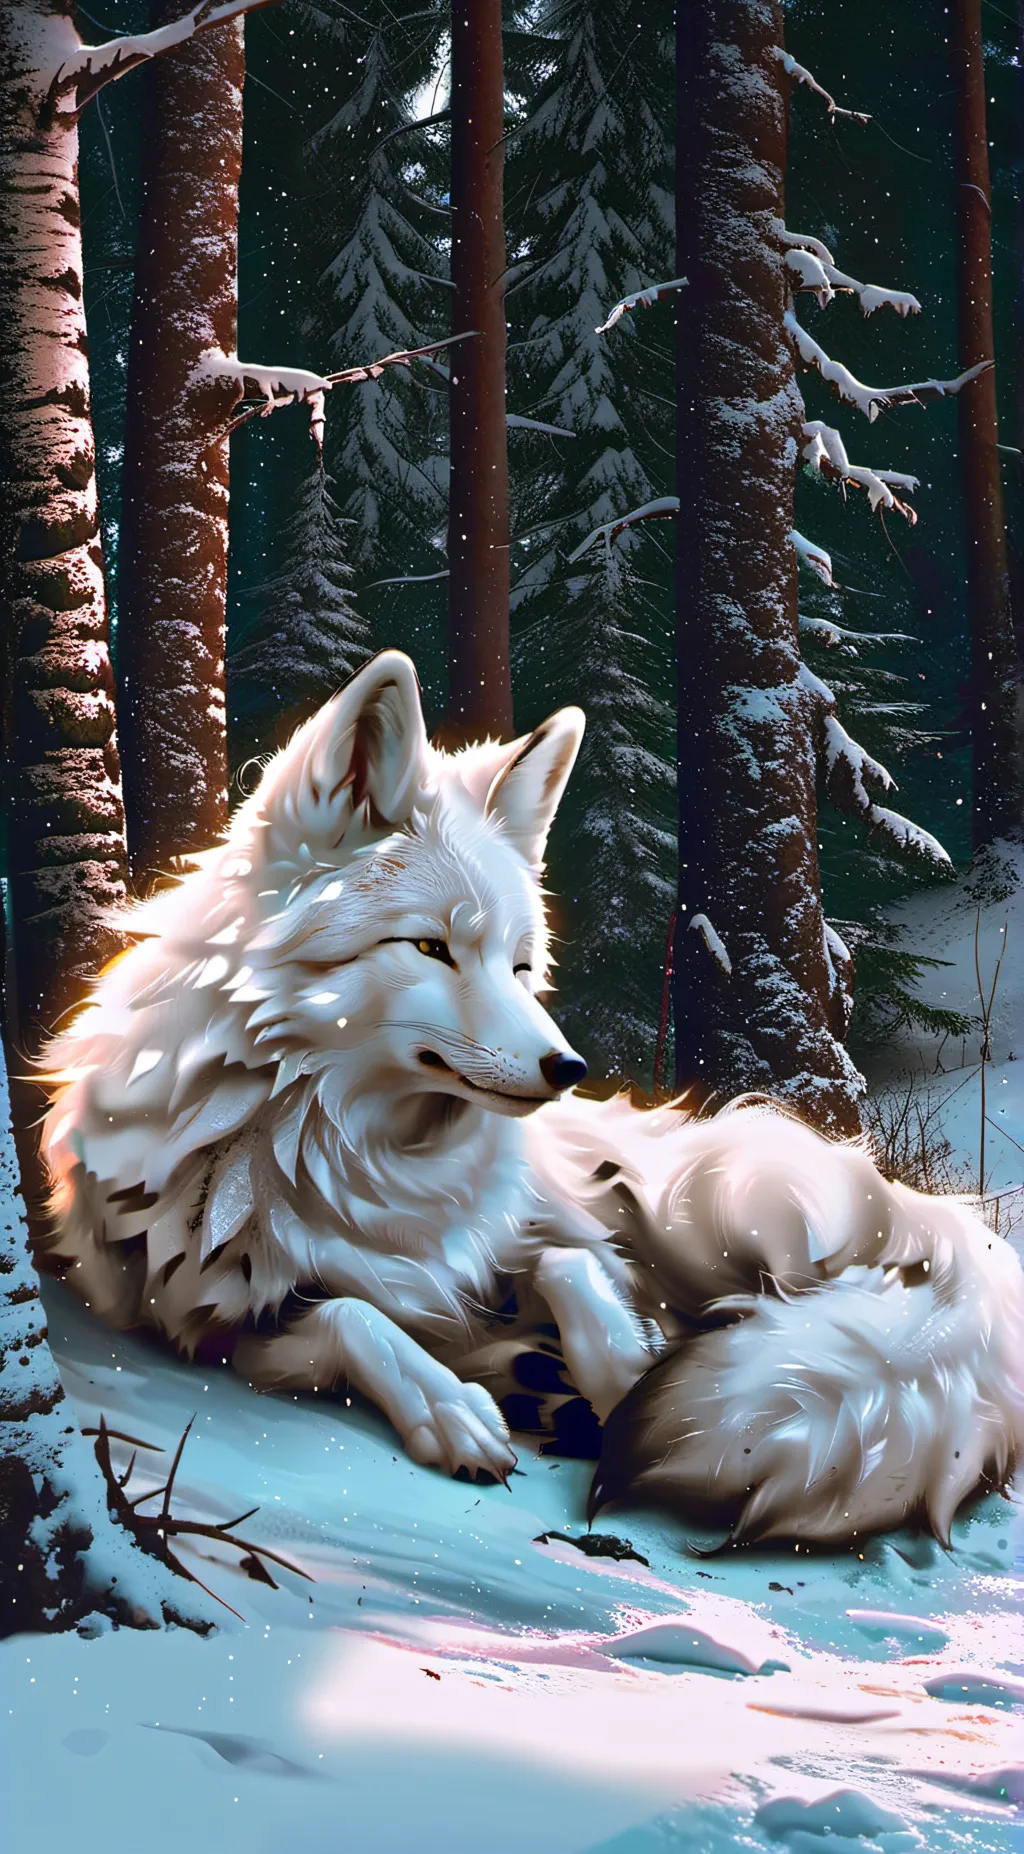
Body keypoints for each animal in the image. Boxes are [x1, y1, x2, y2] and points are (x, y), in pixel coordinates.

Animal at [39, 651, 1024, 1545]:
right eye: (431, 949)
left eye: (518, 965)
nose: (568, 1068)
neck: (342, 1151)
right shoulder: (207, 1319)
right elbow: (356, 1315)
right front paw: (454, 1405)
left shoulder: (560, 1220)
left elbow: (567, 1268)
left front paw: (623, 1360)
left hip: (713, 1209)